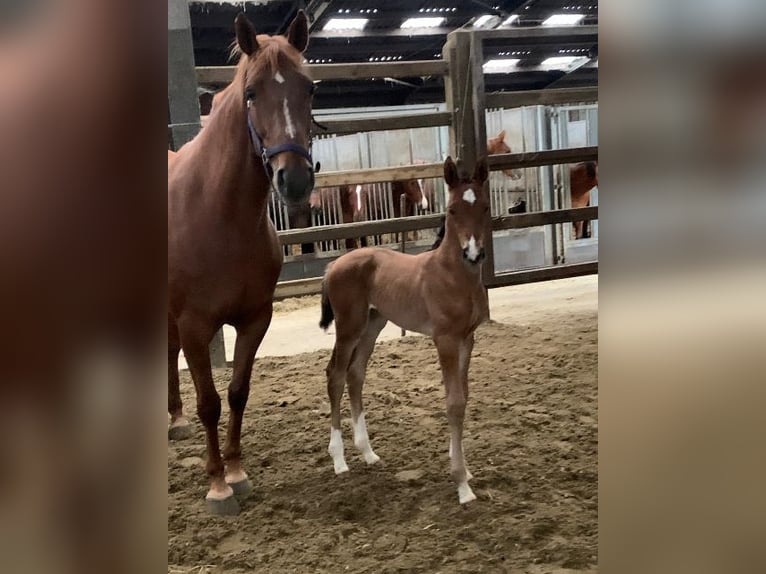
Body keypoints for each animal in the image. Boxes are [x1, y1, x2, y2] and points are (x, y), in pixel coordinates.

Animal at [168, 11, 316, 516]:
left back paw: (173, 420)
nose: (294, 180)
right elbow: (210, 402)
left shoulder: (255, 319)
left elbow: (237, 393)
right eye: (251, 93)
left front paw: (235, 471)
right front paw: (217, 485)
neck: (219, 213)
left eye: (309, 88)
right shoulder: (195, 325)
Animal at [320, 156, 492, 504]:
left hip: (373, 324)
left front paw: (465, 471)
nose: (473, 253)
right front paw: (461, 485)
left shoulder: (467, 338)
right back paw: (339, 460)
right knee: (336, 375)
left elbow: (464, 396)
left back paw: (368, 452)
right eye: (452, 209)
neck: (452, 275)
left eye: (484, 206)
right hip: (349, 326)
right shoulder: (445, 339)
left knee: (356, 373)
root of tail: (333, 266)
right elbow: (454, 403)